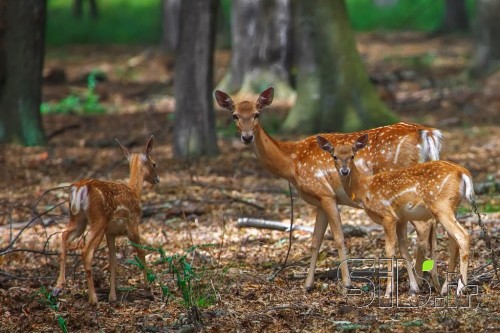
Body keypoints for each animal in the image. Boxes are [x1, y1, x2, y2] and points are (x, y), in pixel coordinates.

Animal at [53, 134, 159, 304]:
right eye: (154, 163)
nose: (157, 179)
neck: (135, 192)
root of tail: (80, 187)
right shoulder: (133, 225)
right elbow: (141, 253)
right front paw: (149, 291)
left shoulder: (111, 233)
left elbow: (113, 261)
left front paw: (112, 297)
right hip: (99, 220)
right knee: (85, 251)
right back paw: (93, 299)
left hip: (78, 219)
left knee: (64, 236)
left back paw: (58, 286)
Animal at [214, 86, 442, 290]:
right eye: (234, 115)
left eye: (257, 114)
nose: (247, 137)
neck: (291, 163)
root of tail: (428, 133)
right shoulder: (319, 200)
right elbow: (315, 241)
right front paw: (307, 285)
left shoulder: (326, 194)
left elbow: (339, 238)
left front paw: (347, 283)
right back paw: (427, 281)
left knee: (424, 227)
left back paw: (419, 283)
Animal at [316, 134, 472, 294]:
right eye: (334, 156)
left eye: (352, 156)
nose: (344, 171)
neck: (365, 189)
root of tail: (463, 173)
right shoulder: (401, 218)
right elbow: (404, 251)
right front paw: (414, 288)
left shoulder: (387, 215)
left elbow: (390, 251)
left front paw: (388, 292)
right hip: (452, 208)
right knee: (453, 243)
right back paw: (445, 288)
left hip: (441, 206)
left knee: (463, 236)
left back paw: (461, 288)